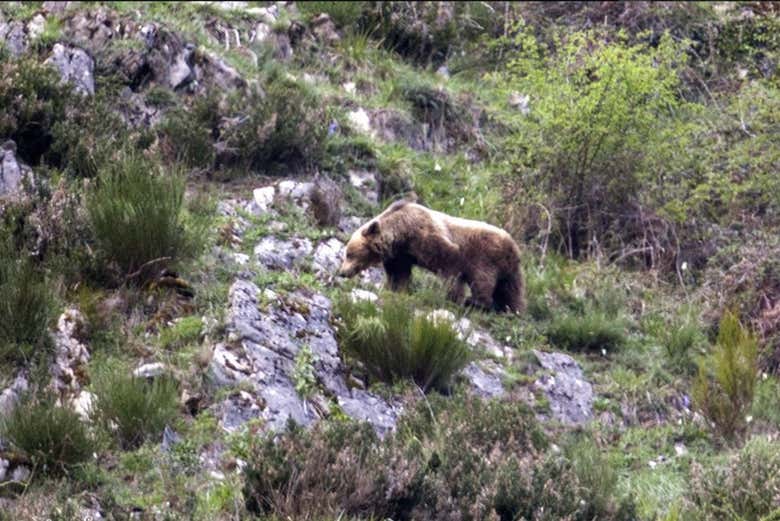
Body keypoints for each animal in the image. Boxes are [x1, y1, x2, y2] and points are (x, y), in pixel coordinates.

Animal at [338, 199, 528, 312]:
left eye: (349, 254)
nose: (342, 272)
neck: (401, 233)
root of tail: (513, 245)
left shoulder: (428, 236)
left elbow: (451, 267)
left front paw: (453, 298)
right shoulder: (401, 255)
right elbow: (399, 274)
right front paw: (396, 288)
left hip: (486, 257)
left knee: (483, 280)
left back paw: (477, 303)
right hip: (510, 269)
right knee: (511, 289)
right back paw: (512, 310)